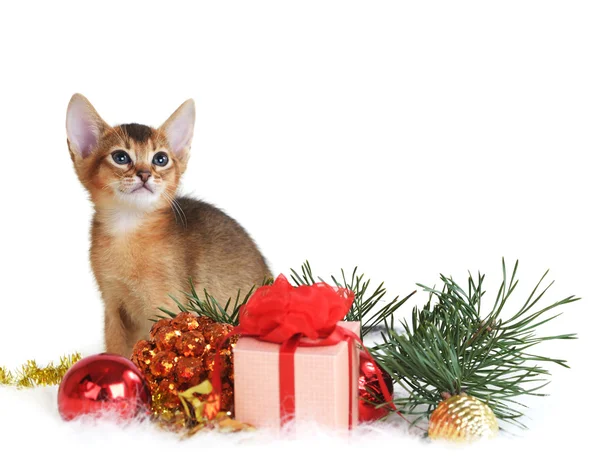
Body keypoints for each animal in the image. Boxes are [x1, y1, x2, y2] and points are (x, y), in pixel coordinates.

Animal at [67, 94, 270, 358]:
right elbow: (116, 349)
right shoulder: (113, 306)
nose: (145, 174)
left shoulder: (165, 306)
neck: (128, 232)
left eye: (160, 159)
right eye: (120, 157)